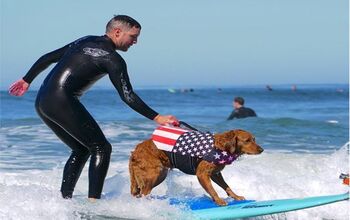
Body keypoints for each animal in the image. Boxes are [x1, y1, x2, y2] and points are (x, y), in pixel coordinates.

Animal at [129, 128, 262, 205]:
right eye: (247, 140)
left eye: (254, 139)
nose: (261, 149)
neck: (220, 147)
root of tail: (135, 152)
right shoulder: (202, 174)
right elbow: (212, 190)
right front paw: (218, 200)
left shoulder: (216, 174)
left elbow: (227, 187)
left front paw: (236, 196)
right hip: (154, 174)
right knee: (144, 193)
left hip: (160, 175)